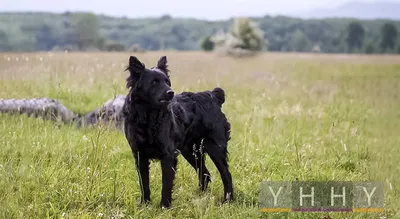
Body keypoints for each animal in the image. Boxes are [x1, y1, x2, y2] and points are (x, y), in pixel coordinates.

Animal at [123, 55, 233, 208]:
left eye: (167, 82)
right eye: (154, 82)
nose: (171, 92)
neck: (149, 116)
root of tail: (212, 95)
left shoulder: (168, 155)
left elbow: (166, 185)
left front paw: (164, 206)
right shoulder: (139, 155)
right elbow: (144, 183)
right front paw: (145, 204)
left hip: (215, 147)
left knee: (226, 174)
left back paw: (228, 200)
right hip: (191, 151)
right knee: (205, 174)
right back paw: (200, 197)